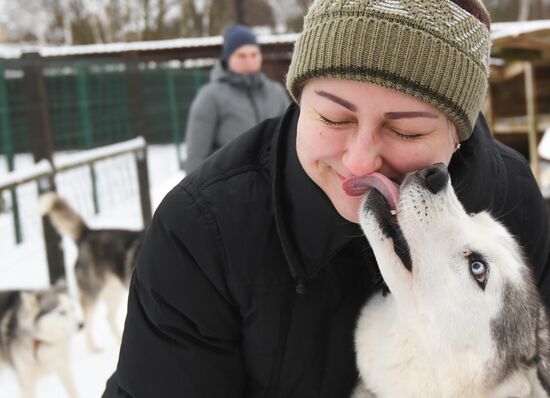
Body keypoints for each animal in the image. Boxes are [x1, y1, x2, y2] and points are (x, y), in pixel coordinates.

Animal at [40, 193, 144, 352]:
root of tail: (88, 233)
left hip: (115, 293)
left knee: (108, 317)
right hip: (93, 294)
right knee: (88, 321)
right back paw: (94, 348)